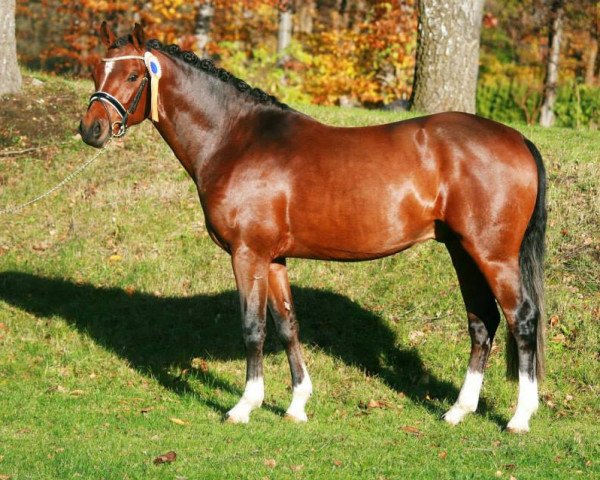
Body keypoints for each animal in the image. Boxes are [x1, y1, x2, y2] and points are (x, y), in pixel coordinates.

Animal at [77, 23, 548, 436]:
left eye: (134, 74)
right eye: (96, 70)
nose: (91, 129)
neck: (237, 140)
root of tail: (518, 139)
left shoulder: (247, 254)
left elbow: (253, 328)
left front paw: (243, 406)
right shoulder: (274, 259)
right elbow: (287, 325)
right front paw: (297, 404)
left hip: (492, 255)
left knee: (522, 319)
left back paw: (520, 418)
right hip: (462, 251)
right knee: (483, 323)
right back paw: (457, 411)